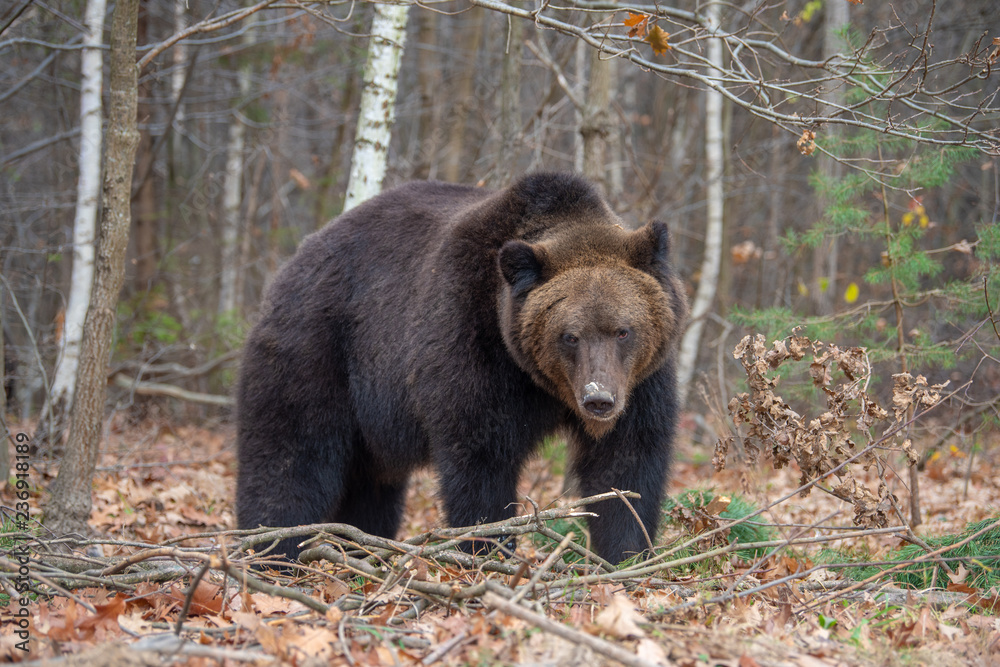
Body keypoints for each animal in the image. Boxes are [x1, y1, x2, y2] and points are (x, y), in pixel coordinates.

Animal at [236, 172, 688, 564]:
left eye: (623, 331)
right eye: (569, 336)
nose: (598, 400)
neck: (543, 385)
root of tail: (295, 259)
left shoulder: (642, 383)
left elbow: (627, 466)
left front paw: (628, 554)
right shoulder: (472, 344)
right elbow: (480, 464)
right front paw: (488, 549)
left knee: (370, 489)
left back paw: (358, 545)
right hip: (321, 350)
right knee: (290, 456)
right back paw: (273, 550)